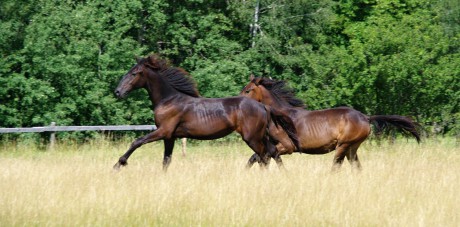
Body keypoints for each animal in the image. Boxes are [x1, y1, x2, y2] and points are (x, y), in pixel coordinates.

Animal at [113, 55, 296, 170]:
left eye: (134, 73)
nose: (117, 92)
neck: (169, 100)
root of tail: (263, 107)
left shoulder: (163, 131)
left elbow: (137, 141)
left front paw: (118, 164)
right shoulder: (169, 136)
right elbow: (166, 161)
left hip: (252, 137)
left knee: (263, 156)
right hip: (262, 136)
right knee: (271, 153)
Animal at [241, 75, 420, 171]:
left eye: (248, 90)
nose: (238, 102)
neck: (279, 116)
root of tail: (366, 117)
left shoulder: (287, 146)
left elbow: (263, 157)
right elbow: (256, 158)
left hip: (343, 145)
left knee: (336, 167)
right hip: (352, 148)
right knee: (356, 167)